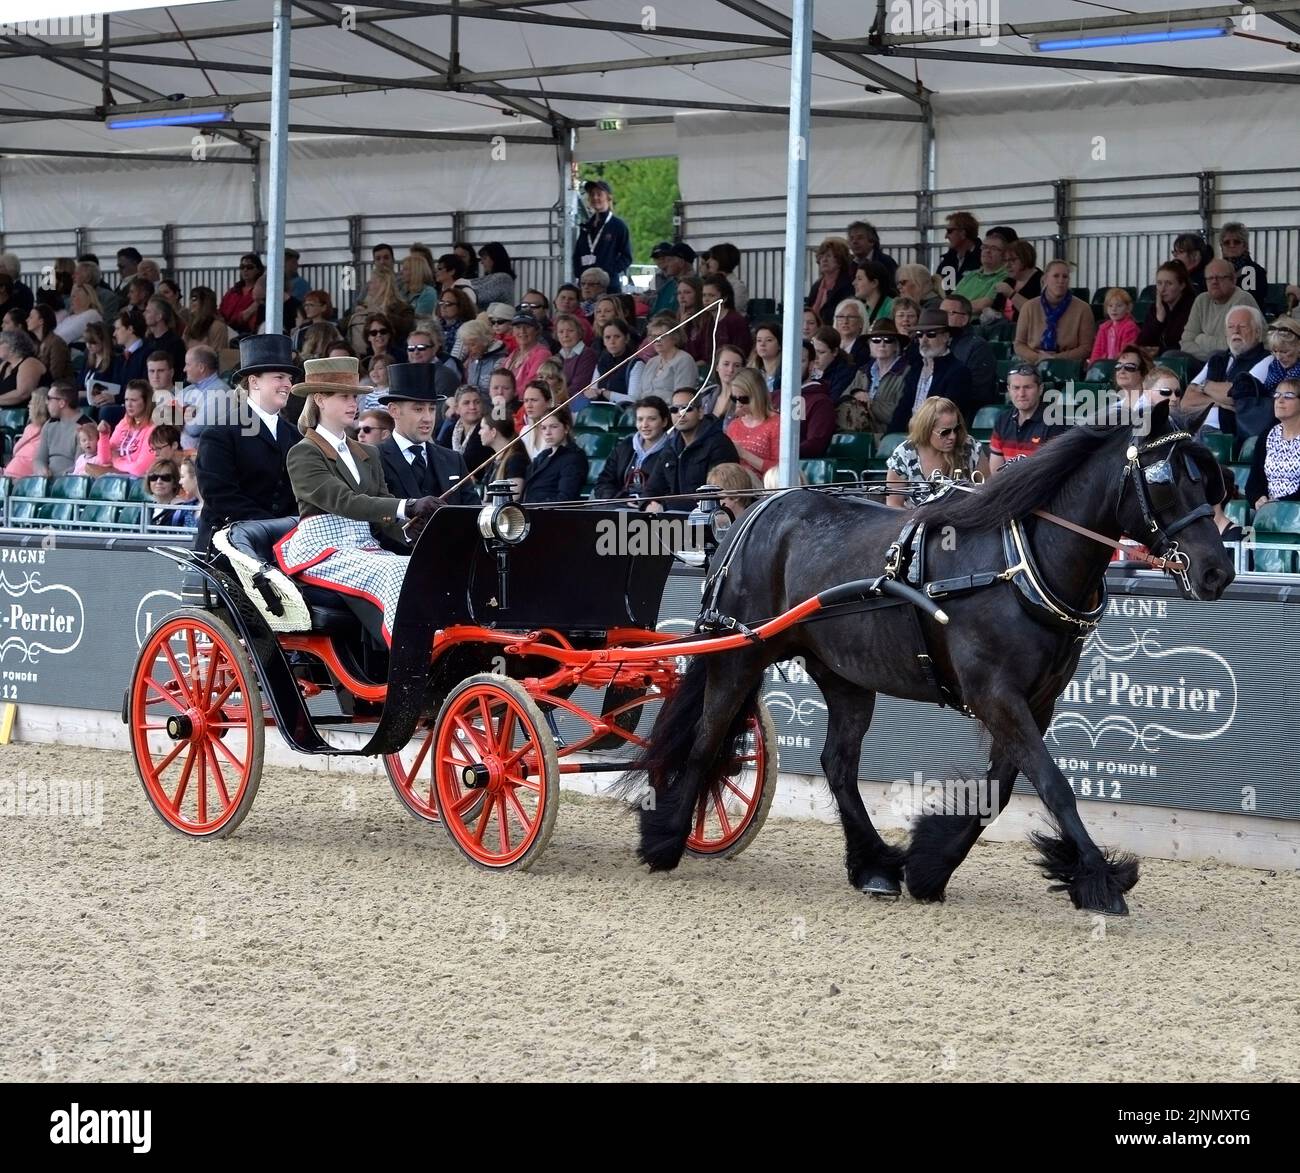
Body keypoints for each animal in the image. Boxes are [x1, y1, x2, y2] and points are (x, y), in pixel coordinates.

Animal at [634, 405, 1232, 920]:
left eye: (1210, 481)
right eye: (1164, 479)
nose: (1217, 572)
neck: (1017, 567)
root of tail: (753, 515)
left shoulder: (1035, 702)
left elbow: (999, 791)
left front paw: (929, 867)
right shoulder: (995, 695)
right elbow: (1053, 784)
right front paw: (1100, 881)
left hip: (845, 674)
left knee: (837, 764)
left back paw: (874, 866)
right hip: (742, 652)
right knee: (708, 740)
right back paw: (665, 840)